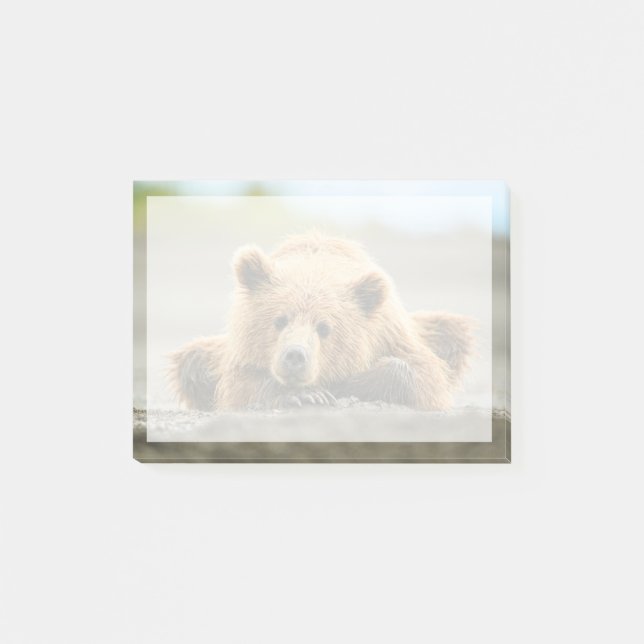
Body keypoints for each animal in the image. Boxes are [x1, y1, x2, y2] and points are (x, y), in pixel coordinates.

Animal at [169, 233, 475, 411]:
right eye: (279, 320)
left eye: (324, 327)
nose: (295, 356)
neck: (316, 266)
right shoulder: (240, 351)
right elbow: (238, 385)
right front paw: (304, 395)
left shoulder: (391, 333)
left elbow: (425, 376)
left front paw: (349, 385)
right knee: (191, 360)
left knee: (452, 332)